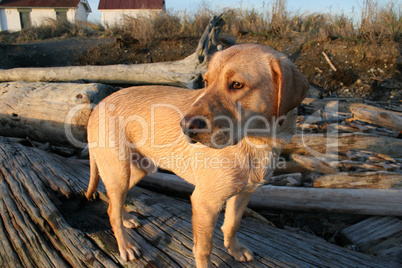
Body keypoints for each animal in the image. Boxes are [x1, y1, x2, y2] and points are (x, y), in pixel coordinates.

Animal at [86, 43, 310, 266]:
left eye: (237, 85)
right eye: (207, 82)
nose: (185, 126)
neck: (256, 144)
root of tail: (97, 106)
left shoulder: (245, 192)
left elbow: (232, 225)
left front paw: (235, 250)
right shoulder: (205, 203)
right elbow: (203, 249)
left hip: (136, 171)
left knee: (114, 203)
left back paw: (126, 219)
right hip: (119, 173)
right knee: (111, 211)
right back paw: (125, 246)